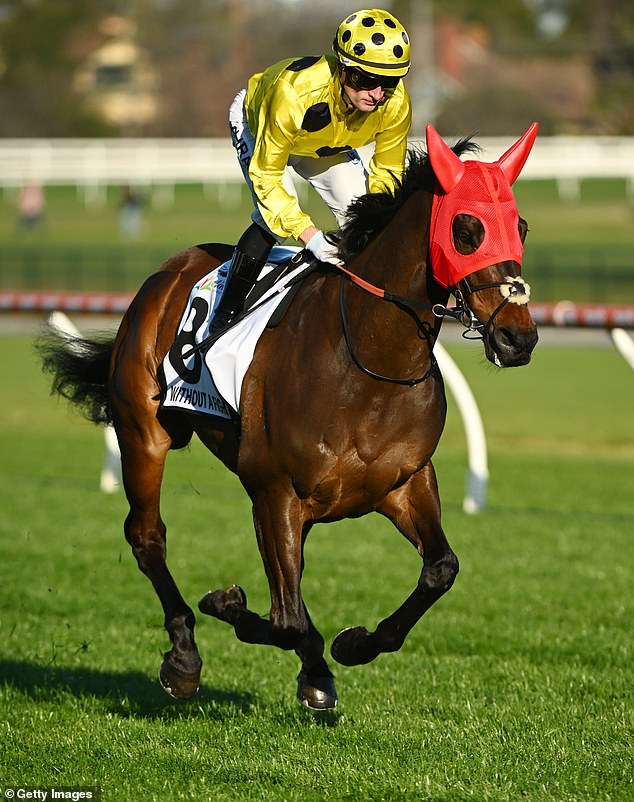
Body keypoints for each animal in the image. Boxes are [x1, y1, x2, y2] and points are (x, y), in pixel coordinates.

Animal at [37, 122, 536, 708]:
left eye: (520, 227)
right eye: (466, 229)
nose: (519, 338)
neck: (366, 361)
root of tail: (167, 273)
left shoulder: (403, 482)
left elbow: (440, 569)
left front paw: (350, 645)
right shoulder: (274, 492)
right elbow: (285, 619)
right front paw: (228, 606)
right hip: (145, 434)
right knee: (147, 535)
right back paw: (184, 656)